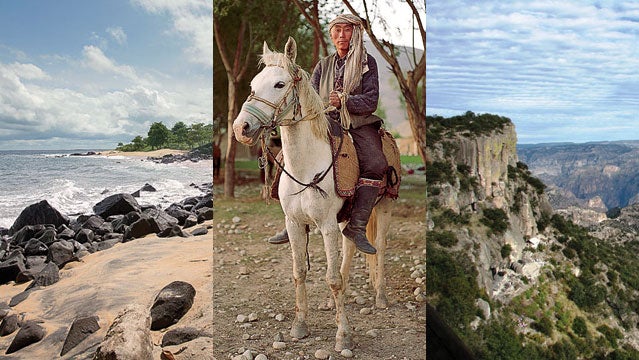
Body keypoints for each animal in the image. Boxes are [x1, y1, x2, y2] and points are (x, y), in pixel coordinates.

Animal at [232, 36, 392, 352]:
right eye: (254, 84)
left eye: (280, 84)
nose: (241, 128)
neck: (306, 165)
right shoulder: (295, 224)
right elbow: (299, 272)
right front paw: (300, 325)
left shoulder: (327, 225)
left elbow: (331, 279)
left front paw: (343, 335)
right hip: (346, 219)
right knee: (351, 244)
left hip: (383, 208)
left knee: (377, 248)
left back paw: (380, 296)